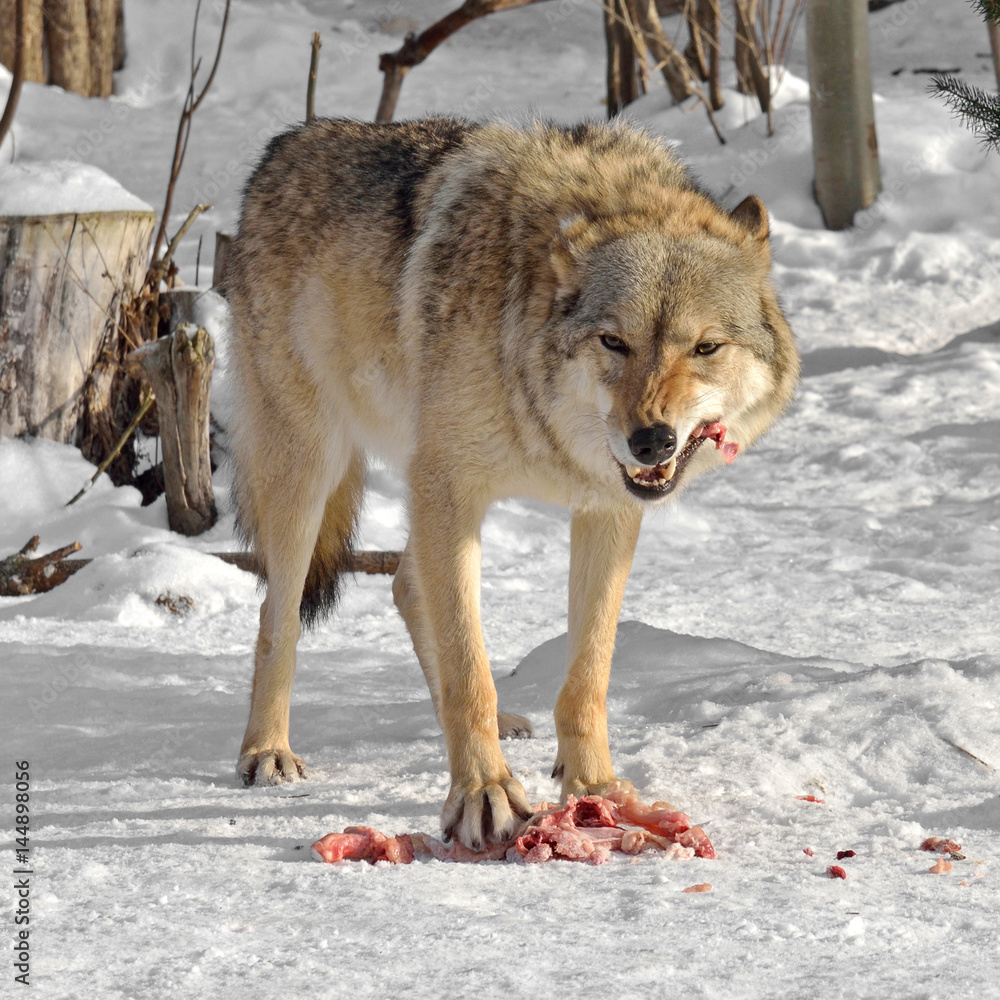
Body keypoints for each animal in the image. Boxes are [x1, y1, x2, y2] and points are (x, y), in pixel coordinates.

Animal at [226, 117, 799, 851]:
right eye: (613, 342)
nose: (652, 441)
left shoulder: (605, 510)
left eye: (705, 348)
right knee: (280, 614)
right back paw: (267, 751)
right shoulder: (447, 485)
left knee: (408, 588)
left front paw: (593, 784)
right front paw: (483, 795)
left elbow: (587, 673)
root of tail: (284, 145)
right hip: (313, 467)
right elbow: (471, 675)